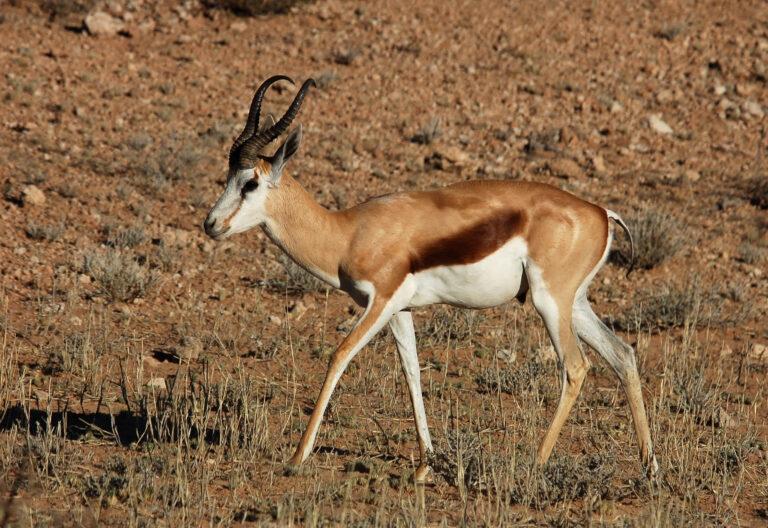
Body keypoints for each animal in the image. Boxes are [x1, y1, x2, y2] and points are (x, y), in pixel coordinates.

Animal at [203, 76, 659, 481]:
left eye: (250, 182)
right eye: (227, 178)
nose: (210, 224)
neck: (348, 233)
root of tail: (601, 213)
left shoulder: (381, 300)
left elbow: (339, 355)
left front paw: (298, 456)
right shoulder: (400, 310)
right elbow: (412, 372)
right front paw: (425, 466)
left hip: (550, 303)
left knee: (576, 366)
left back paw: (537, 462)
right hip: (573, 304)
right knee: (623, 355)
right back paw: (649, 468)